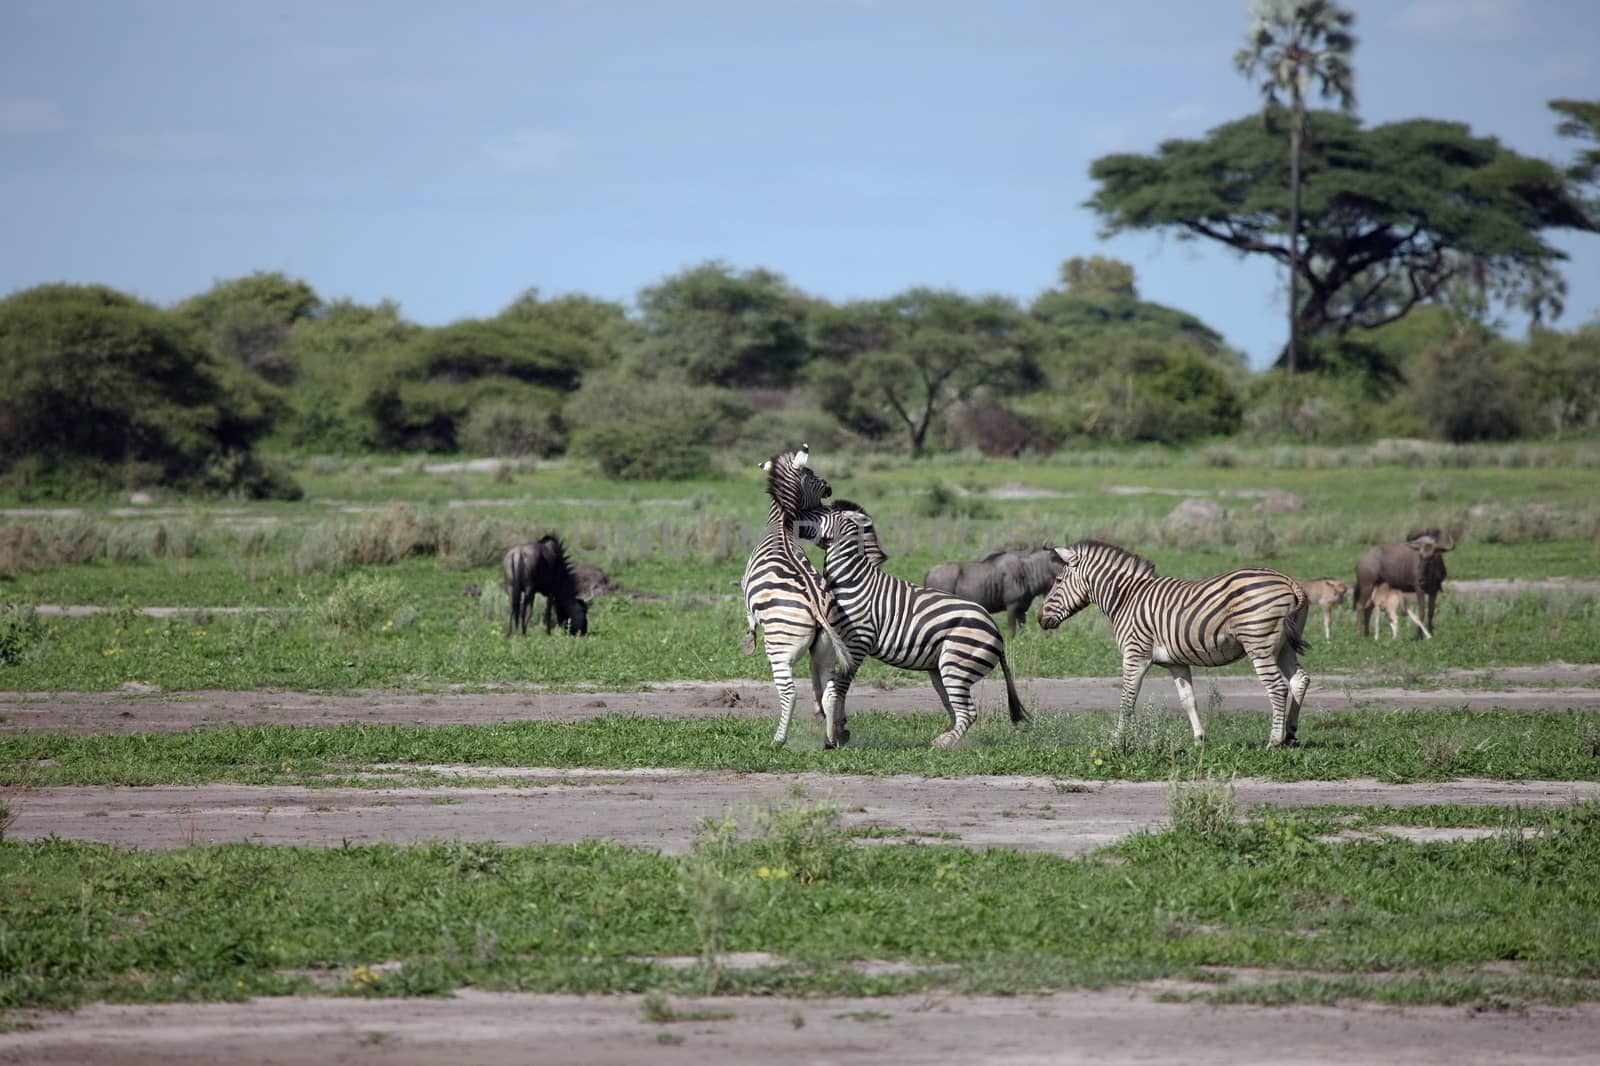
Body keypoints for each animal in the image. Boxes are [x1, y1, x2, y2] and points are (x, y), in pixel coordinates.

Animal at [739, 444, 857, 742]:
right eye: (813, 474)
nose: (830, 487)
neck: (781, 524)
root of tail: (817, 606)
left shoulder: (745, 588)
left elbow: (749, 618)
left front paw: (748, 641)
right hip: (826, 649)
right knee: (829, 691)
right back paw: (830, 739)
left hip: (780, 649)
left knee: (789, 693)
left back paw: (779, 739)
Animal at [812, 499, 1024, 742]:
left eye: (825, 514)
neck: (852, 579)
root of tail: (994, 628)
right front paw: (838, 727)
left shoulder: (858, 641)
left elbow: (840, 687)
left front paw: (837, 732)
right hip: (941, 668)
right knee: (953, 707)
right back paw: (943, 737)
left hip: (957, 665)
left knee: (968, 712)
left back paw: (944, 743)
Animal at [1036, 541, 1312, 745]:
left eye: (1058, 581)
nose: (1039, 618)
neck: (1126, 598)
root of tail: (1287, 580)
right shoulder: (1176, 662)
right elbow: (1187, 699)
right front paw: (1199, 739)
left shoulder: (1135, 655)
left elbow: (1127, 699)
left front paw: (1117, 739)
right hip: (1284, 646)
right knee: (1299, 679)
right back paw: (1290, 735)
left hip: (1259, 644)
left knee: (1277, 687)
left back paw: (1274, 741)